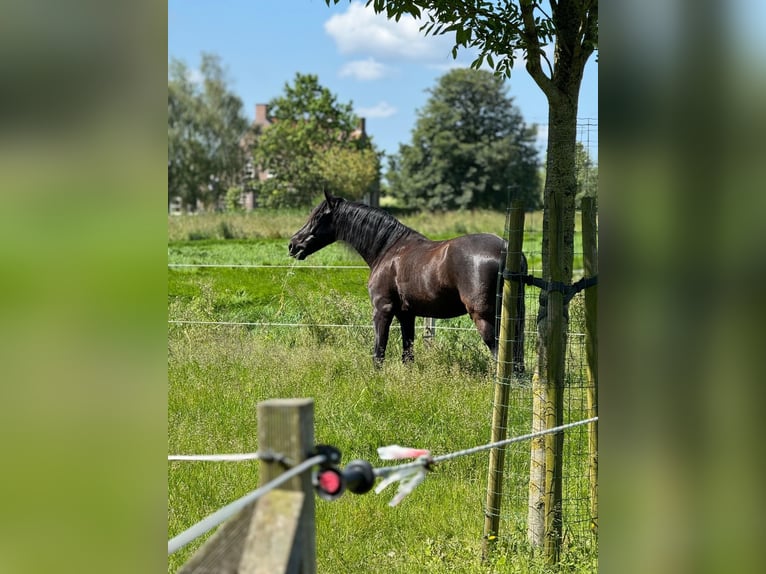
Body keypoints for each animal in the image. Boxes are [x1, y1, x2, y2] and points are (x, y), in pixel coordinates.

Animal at [290, 190, 528, 368]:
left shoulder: (382, 310)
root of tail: (506, 249)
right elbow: (408, 354)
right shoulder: (406, 314)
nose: (293, 245)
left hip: (485, 318)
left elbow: (379, 352)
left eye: (318, 217)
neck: (388, 249)